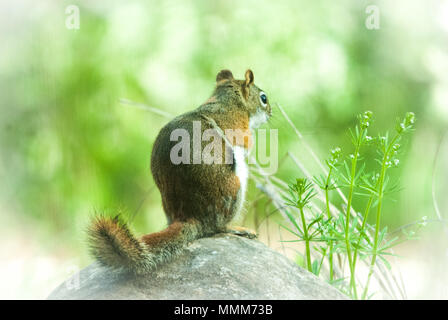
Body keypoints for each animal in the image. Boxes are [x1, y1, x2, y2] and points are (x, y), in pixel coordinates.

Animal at [86, 69, 272, 274]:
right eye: (263, 98)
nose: (271, 112)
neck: (227, 99)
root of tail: (191, 217)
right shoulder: (236, 124)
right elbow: (245, 142)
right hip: (233, 188)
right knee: (217, 228)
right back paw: (237, 228)